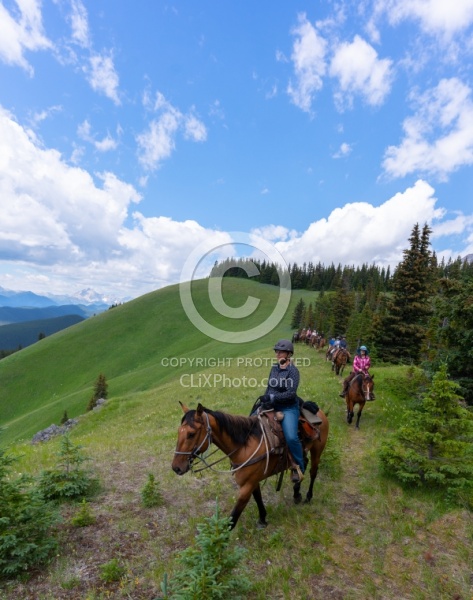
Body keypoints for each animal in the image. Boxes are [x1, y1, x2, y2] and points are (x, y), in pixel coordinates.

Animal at [171, 406, 330, 528]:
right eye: (179, 432)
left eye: (191, 434)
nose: (176, 468)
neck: (244, 447)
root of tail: (320, 411)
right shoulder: (253, 481)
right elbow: (258, 498)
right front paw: (263, 519)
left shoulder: (246, 487)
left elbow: (233, 519)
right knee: (302, 465)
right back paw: (297, 493)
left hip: (317, 450)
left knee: (313, 472)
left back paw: (308, 497)